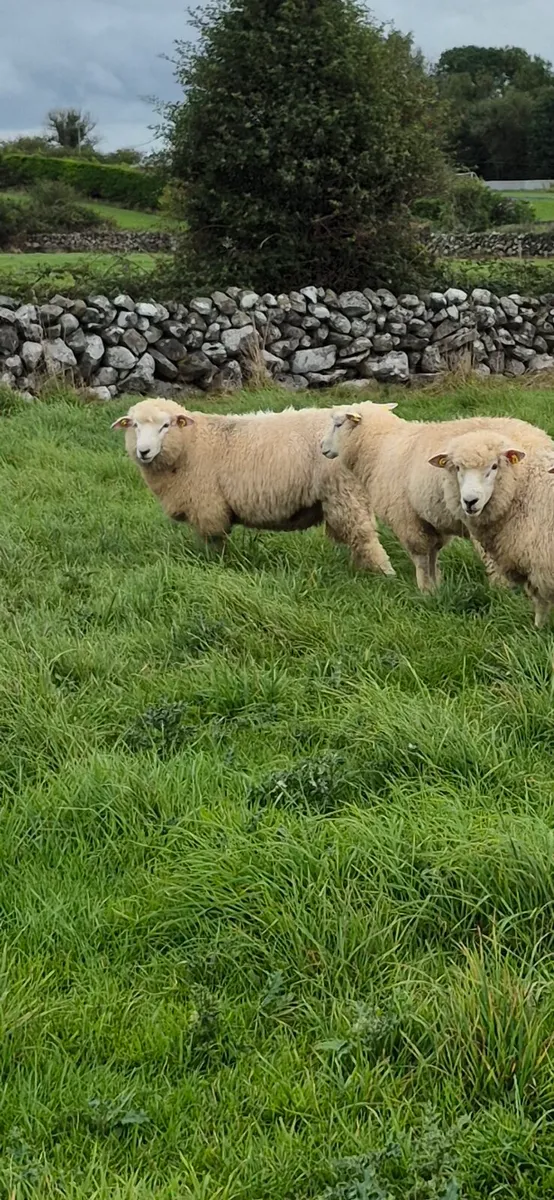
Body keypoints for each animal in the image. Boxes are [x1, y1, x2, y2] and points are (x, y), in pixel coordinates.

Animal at [111, 397, 397, 574]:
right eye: (134, 425)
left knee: (364, 537)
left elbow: (215, 544)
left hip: (346, 493)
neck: (190, 444)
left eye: (166, 425)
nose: (143, 452)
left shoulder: (208, 507)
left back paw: (385, 573)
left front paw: (215, 566)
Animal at [321, 403, 554, 592]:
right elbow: (432, 554)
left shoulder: (407, 518)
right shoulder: (429, 520)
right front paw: (436, 588)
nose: (322, 446)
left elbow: (421, 557)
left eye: (338, 424)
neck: (380, 448)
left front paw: (425, 590)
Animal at [428, 428, 554, 626]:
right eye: (457, 468)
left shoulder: (540, 565)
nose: (470, 501)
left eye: (494, 466)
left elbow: (541, 604)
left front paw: (537, 629)